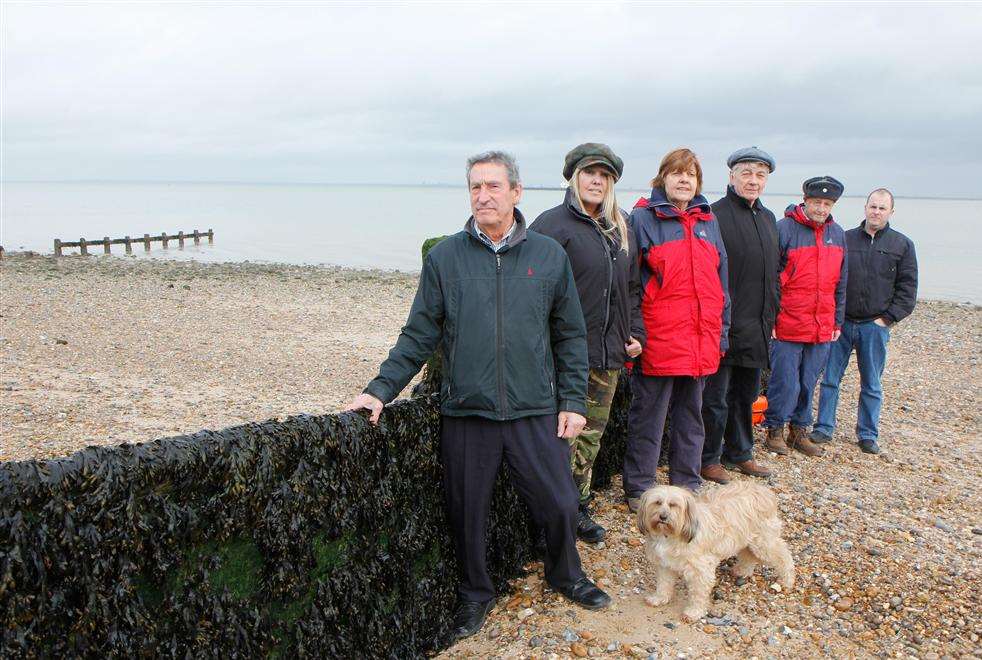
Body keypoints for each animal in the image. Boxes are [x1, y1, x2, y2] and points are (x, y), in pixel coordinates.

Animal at [640, 482, 800, 620]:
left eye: (673, 505)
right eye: (657, 502)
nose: (663, 516)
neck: (672, 534)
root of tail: (766, 491)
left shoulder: (701, 570)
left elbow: (698, 593)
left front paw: (693, 612)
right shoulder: (665, 564)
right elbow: (664, 584)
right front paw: (658, 599)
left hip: (764, 544)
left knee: (784, 556)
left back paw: (787, 581)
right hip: (745, 540)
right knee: (748, 557)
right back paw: (742, 571)